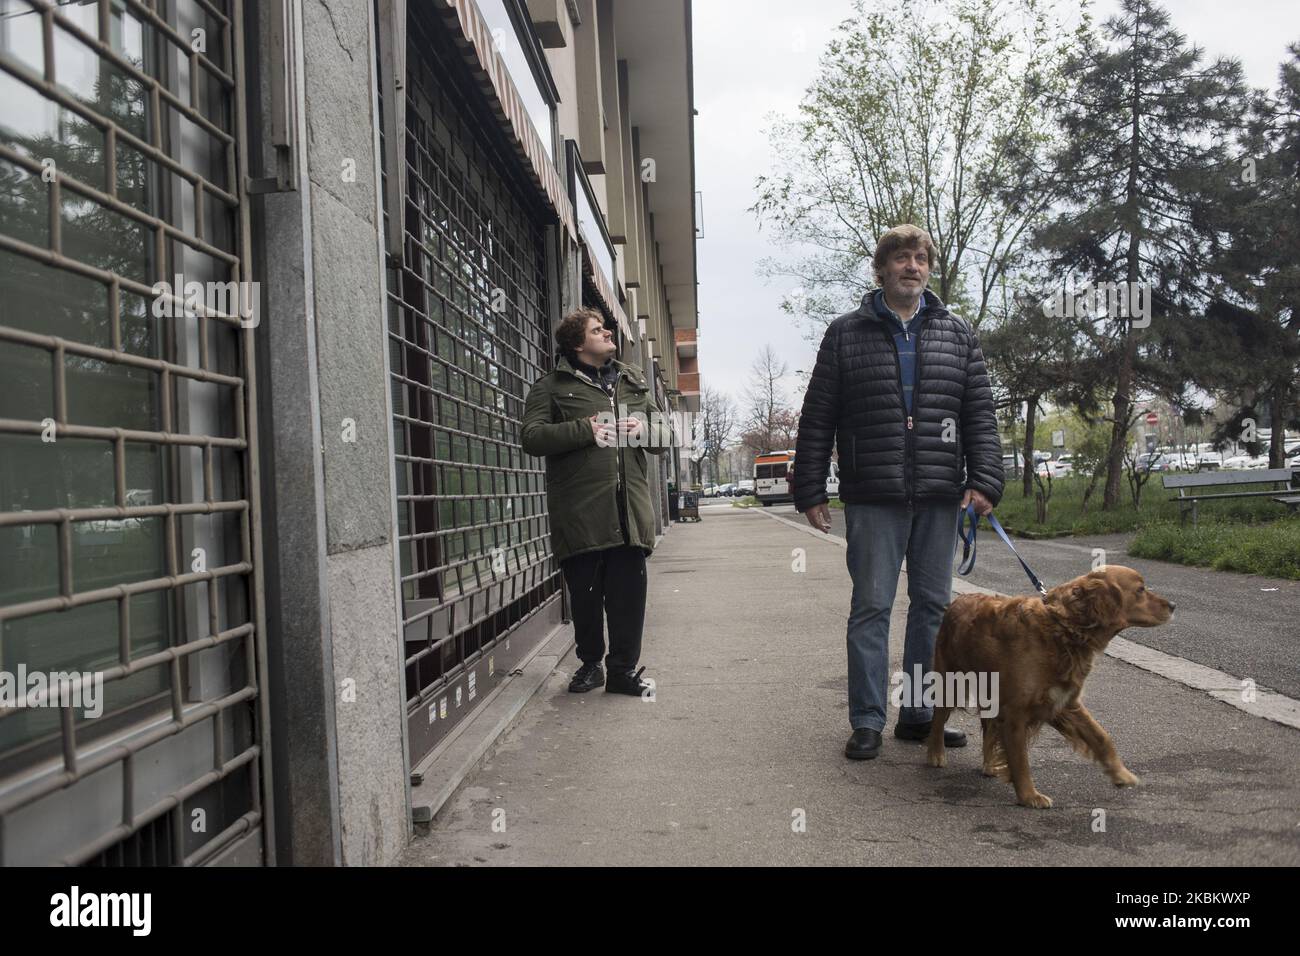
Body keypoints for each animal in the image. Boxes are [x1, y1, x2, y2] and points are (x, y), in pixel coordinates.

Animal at [930, 567, 1175, 806]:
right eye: (1140, 590)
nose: (1173, 605)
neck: (1063, 630)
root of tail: (956, 602)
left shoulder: (1065, 701)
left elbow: (1101, 736)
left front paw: (1121, 774)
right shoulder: (1015, 713)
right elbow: (1020, 760)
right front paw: (1029, 796)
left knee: (988, 728)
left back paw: (989, 765)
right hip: (950, 684)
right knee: (938, 719)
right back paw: (935, 754)